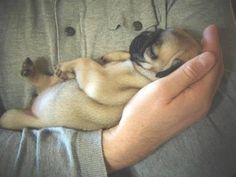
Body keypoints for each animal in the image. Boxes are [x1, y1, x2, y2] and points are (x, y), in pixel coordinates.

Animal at [0, 27, 201, 130]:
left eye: (152, 52)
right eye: (156, 29)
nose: (143, 34)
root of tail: (31, 107)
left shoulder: (100, 81)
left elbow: (84, 61)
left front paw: (67, 65)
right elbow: (122, 54)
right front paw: (108, 56)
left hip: (10, 117)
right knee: (45, 81)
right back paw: (31, 70)